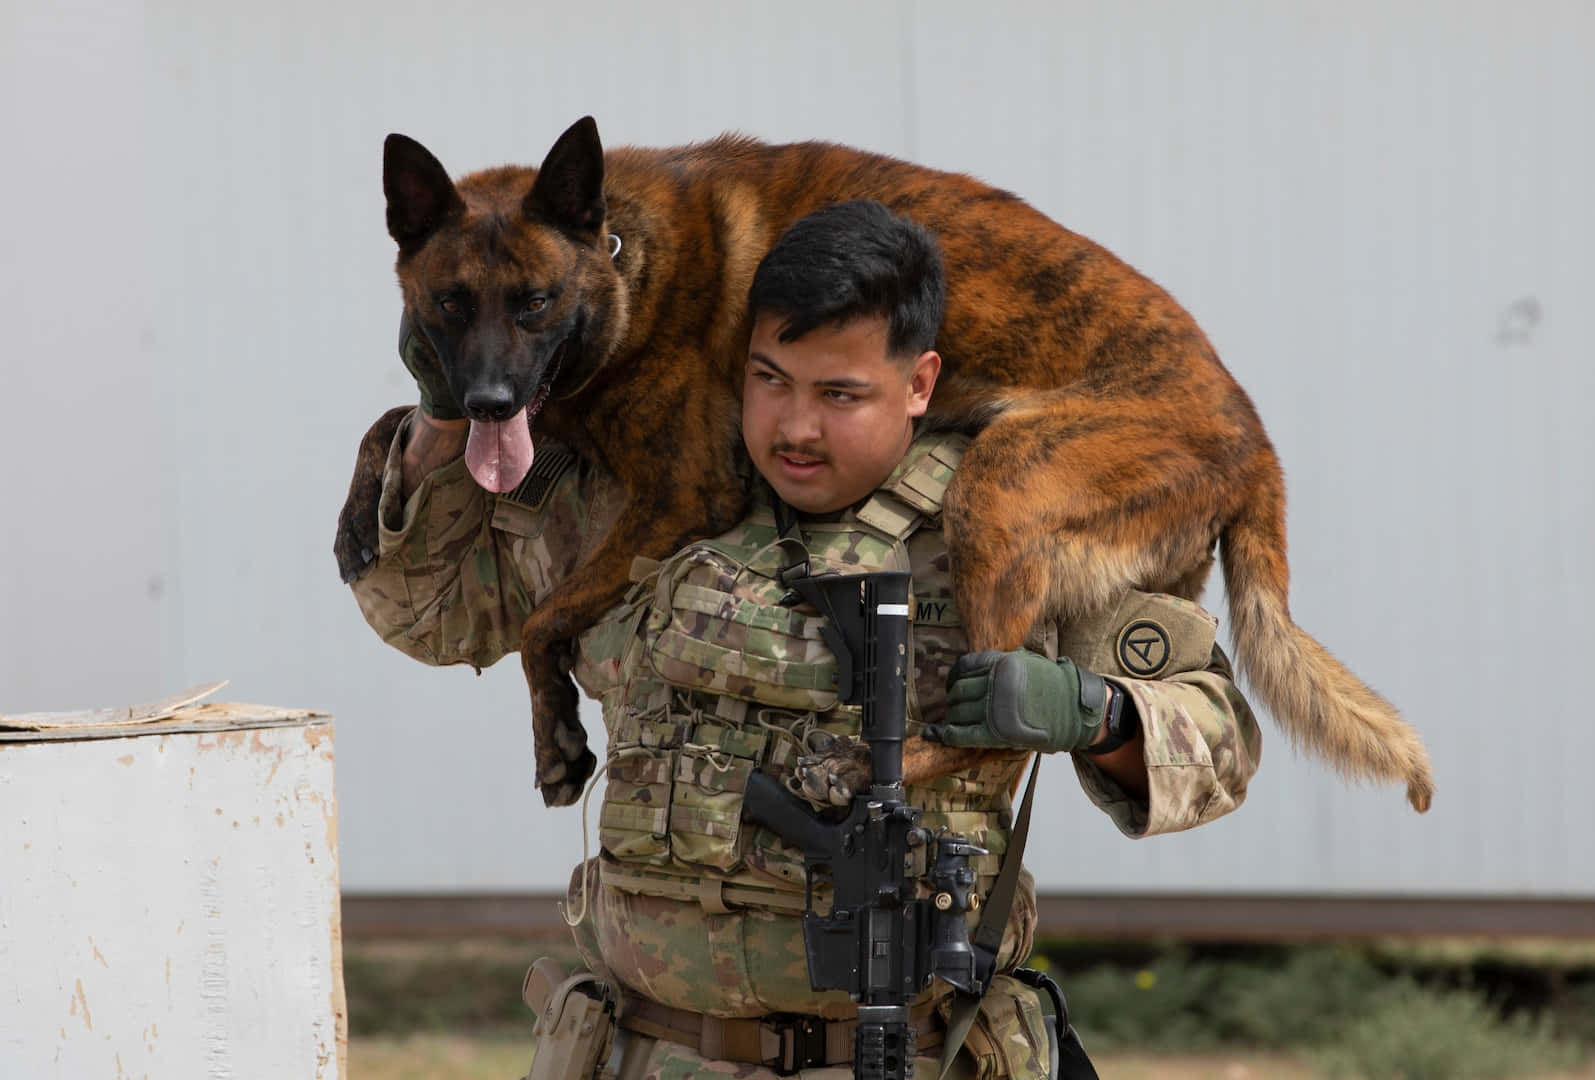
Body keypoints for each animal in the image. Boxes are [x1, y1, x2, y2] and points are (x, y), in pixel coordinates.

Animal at [336, 115, 1435, 810]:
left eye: (532, 304)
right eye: (448, 306)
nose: (488, 402)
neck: (624, 267)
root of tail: (1254, 443)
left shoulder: (679, 492)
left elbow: (539, 620)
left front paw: (559, 744)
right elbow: (396, 418)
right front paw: (362, 518)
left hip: (1000, 486)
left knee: (999, 731)